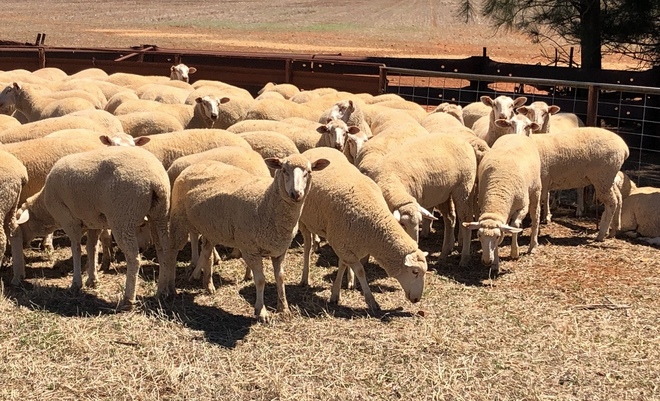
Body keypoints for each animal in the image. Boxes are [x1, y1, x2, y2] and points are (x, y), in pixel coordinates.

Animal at [11, 146, 171, 308]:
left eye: (21, 223)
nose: (22, 243)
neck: (45, 208)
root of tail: (155, 181)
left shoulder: (69, 220)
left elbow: (76, 249)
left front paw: (76, 283)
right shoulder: (93, 222)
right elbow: (91, 248)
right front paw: (92, 280)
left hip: (123, 216)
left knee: (133, 257)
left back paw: (128, 299)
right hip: (159, 214)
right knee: (163, 251)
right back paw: (162, 291)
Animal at [163, 154, 330, 321]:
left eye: (309, 172)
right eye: (283, 170)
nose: (296, 194)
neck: (266, 202)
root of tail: (194, 166)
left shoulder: (279, 250)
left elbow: (281, 277)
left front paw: (283, 308)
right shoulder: (251, 250)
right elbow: (261, 280)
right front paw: (261, 311)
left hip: (211, 227)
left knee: (206, 251)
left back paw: (206, 283)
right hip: (179, 217)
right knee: (172, 251)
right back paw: (171, 288)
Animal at [298, 147, 428, 310]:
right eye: (415, 271)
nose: (417, 299)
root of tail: (315, 148)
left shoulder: (346, 245)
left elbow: (342, 265)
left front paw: (336, 292)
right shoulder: (342, 244)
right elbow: (360, 271)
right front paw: (371, 301)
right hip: (303, 220)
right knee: (307, 246)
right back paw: (304, 277)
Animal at [463, 134, 542, 271]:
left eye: (496, 236)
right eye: (479, 235)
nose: (486, 261)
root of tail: (517, 134)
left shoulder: (522, 207)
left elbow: (515, 224)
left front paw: (514, 252)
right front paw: (495, 263)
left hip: (536, 189)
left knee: (535, 217)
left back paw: (533, 245)